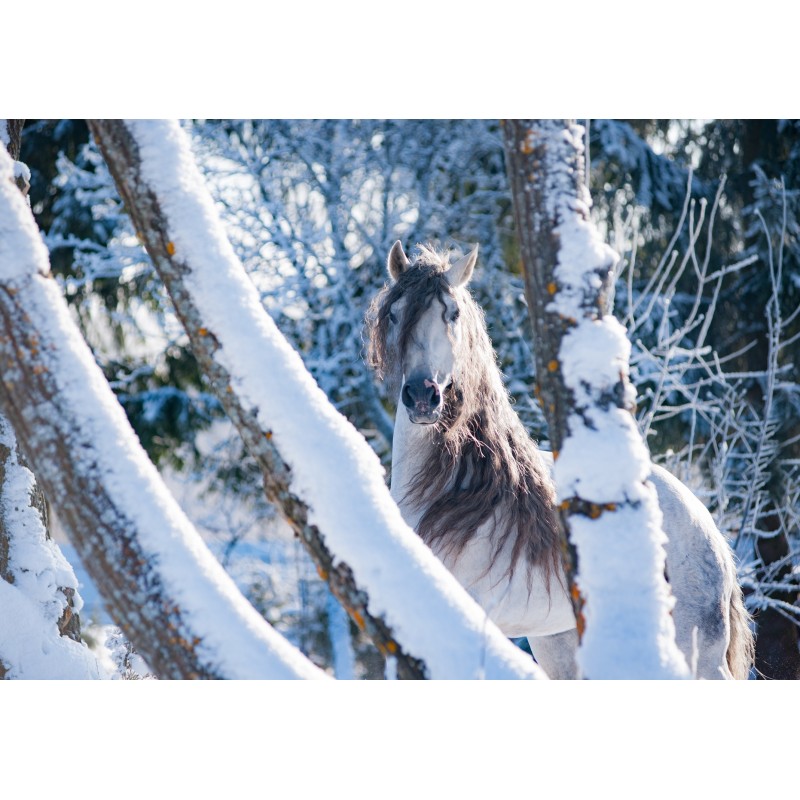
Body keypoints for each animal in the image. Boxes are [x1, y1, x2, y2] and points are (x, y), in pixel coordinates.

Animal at [368, 241, 756, 680]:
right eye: (395, 313)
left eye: (452, 313)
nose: (422, 396)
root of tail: (706, 523)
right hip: (562, 644)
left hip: (698, 652)